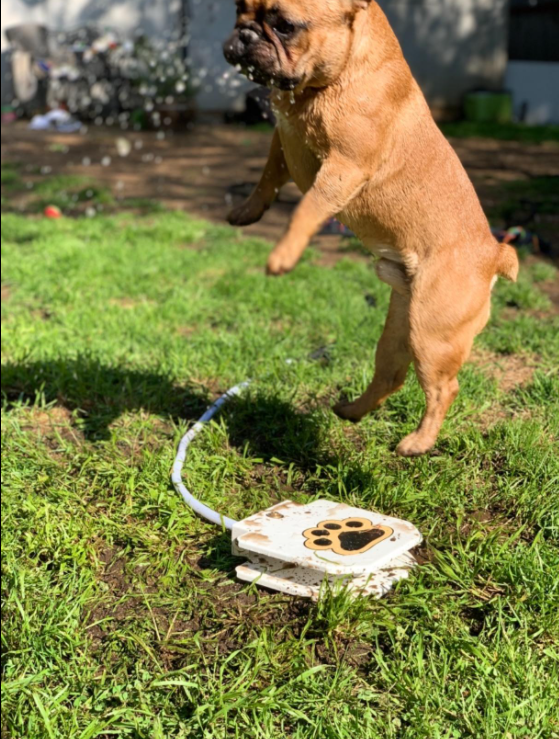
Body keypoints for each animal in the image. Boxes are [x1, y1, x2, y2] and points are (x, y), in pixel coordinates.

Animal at [223, 0, 519, 456]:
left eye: (285, 25)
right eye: (238, 9)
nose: (245, 33)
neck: (326, 83)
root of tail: (493, 254)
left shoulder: (342, 169)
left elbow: (305, 210)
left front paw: (283, 255)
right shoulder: (283, 141)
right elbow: (266, 178)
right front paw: (245, 211)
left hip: (433, 332)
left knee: (443, 388)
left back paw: (417, 442)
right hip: (400, 327)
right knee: (390, 375)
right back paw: (351, 411)